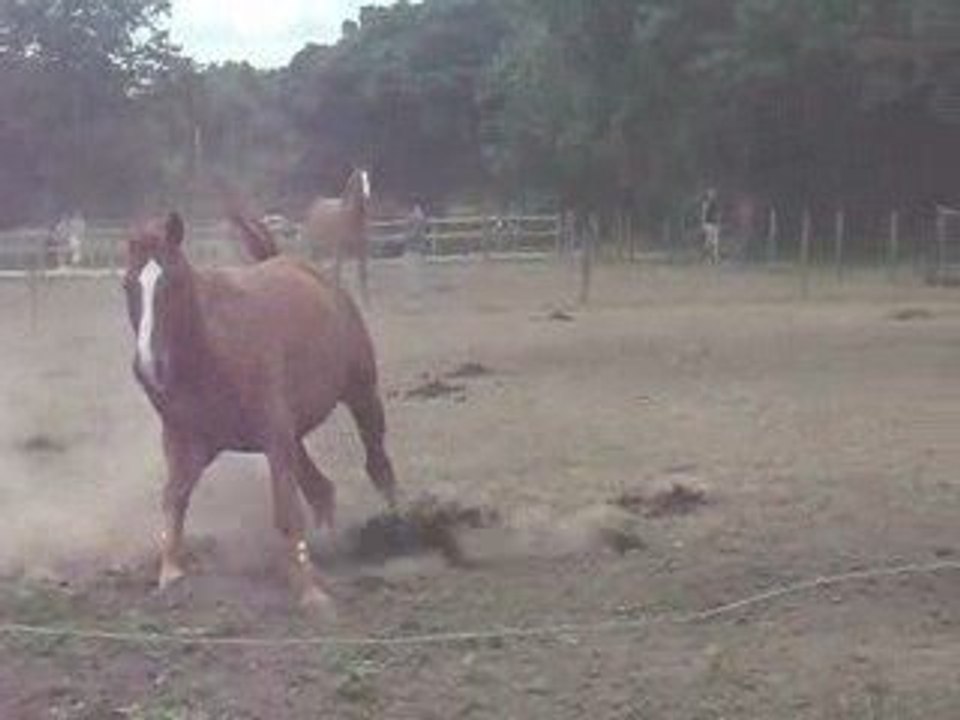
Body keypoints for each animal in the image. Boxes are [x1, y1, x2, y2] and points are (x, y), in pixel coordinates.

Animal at [122, 210, 397, 612]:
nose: (148, 368)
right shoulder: (188, 443)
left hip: (361, 396)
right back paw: (330, 548)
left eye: (172, 283)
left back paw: (396, 525)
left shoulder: (274, 437)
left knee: (378, 463)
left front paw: (311, 593)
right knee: (322, 490)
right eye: (127, 285)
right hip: (294, 437)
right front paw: (170, 574)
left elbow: (285, 511)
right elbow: (174, 498)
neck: (212, 350)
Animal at [302, 166, 371, 304]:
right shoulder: (339, 249)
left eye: (368, 179)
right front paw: (335, 299)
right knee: (317, 264)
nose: (367, 197)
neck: (350, 218)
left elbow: (362, 275)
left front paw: (366, 304)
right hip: (316, 245)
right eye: (358, 180)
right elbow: (337, 274)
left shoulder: (361, 249)